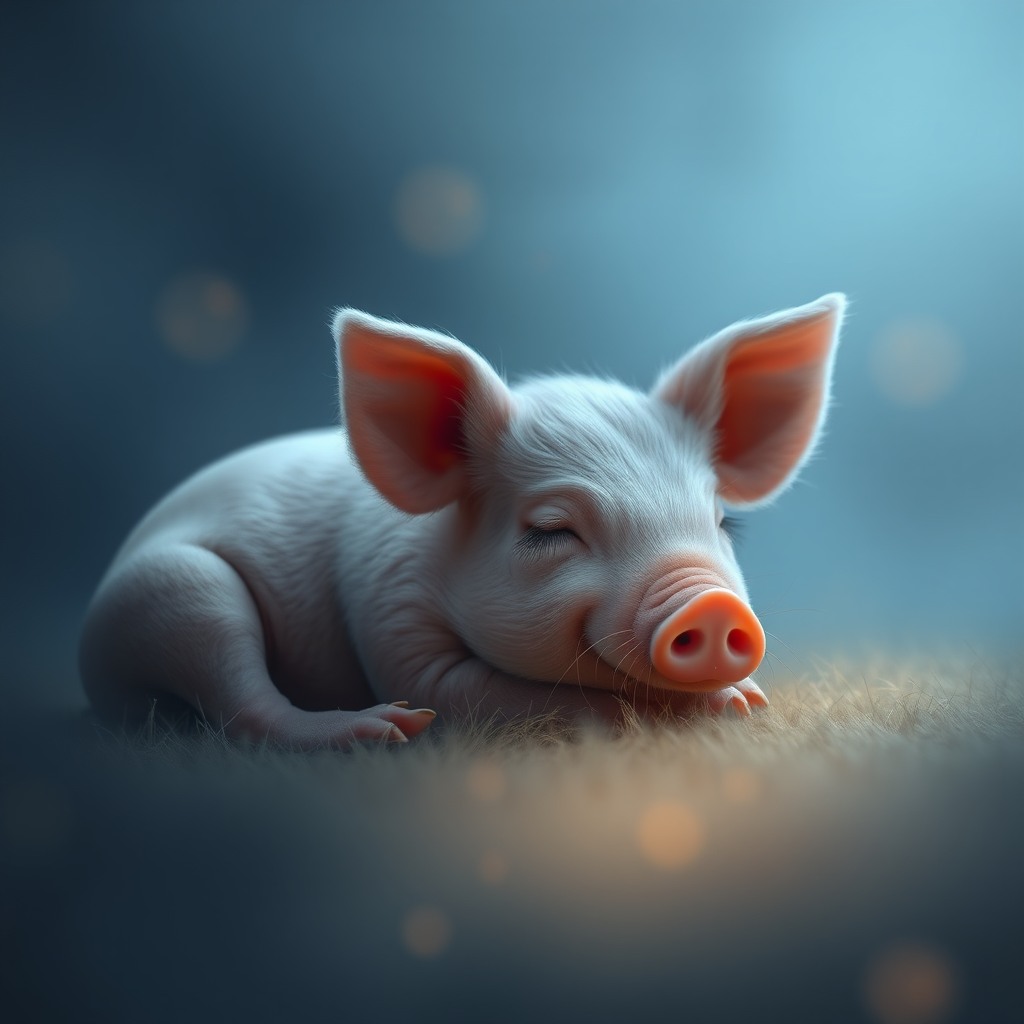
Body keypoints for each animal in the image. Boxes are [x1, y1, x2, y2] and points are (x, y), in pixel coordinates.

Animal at [79, 293, 845, 749]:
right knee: (241, 705)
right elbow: (476, 697)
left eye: (723, 524)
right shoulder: (391, 618)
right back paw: (382, 732)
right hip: (178, 589)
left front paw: (748, 700)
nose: (713, 606)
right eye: (550, 530)